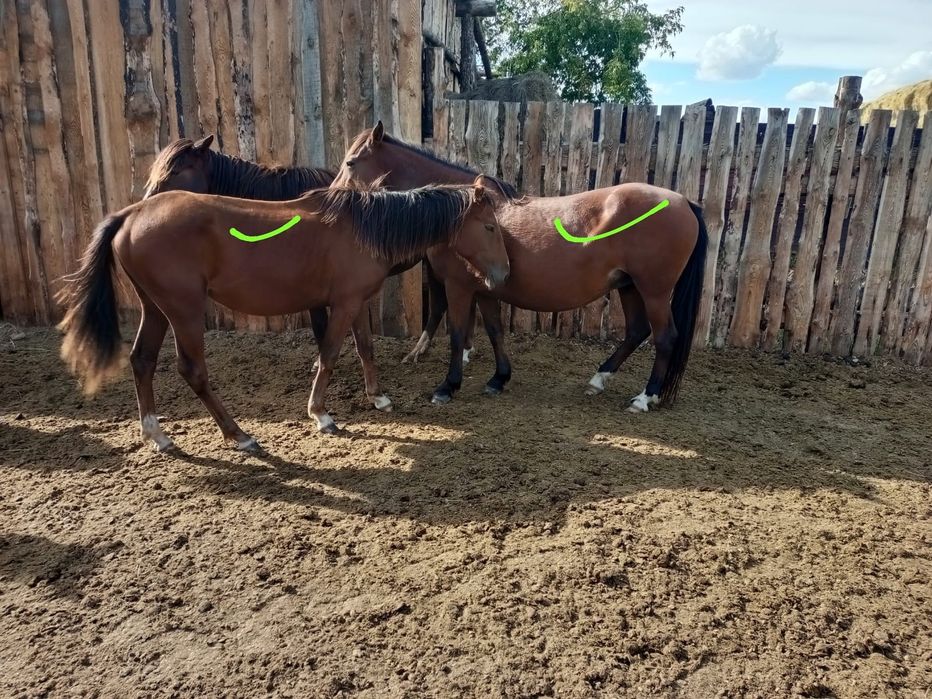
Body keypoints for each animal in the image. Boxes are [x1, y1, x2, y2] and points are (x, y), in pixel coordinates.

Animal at [57, 179, 509, 452]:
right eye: (489, 226)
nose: (503, 274)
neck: (365, 227)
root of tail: (131, 215)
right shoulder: (343, 304)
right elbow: (329, 356)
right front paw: (321, 414)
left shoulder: (357, 302)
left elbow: (365, 350)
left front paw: (377, 397)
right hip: (183, 311)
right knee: (192, 371)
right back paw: (239, 435)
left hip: (156, 309)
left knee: (142, 361)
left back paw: (158, 435)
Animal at [333, 122, 708, 413]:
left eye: (351, 162)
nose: (333, 199)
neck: (463, 210)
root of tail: (684, 201)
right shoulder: (485, 287)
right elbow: (495, 330)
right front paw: (498, 379)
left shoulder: (458, 286)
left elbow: (457, 334)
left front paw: (447, 387)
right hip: (629, 286)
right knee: (636, 332)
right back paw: (598, 379)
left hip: (654, 290)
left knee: (664, 337)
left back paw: (644, 398)